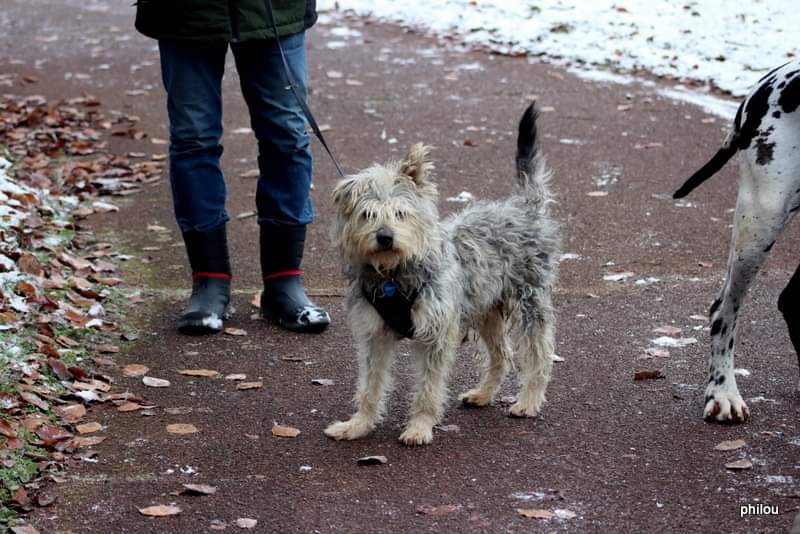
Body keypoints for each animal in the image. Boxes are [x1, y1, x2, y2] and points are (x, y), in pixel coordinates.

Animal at [322, 104, 560, 448]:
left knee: (539, 355)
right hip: (487, 311)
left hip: (530, 304)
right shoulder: (374, 336)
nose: (385, 237)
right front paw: (358, 424)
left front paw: (420, 427)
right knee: (502, 355)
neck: (394, 274)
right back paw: (483, 394)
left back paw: (528, 401)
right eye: (368, 214)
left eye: (400, 213)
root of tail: (523, 206)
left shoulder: (435, 335)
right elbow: (369, 386)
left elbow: (427, 389)